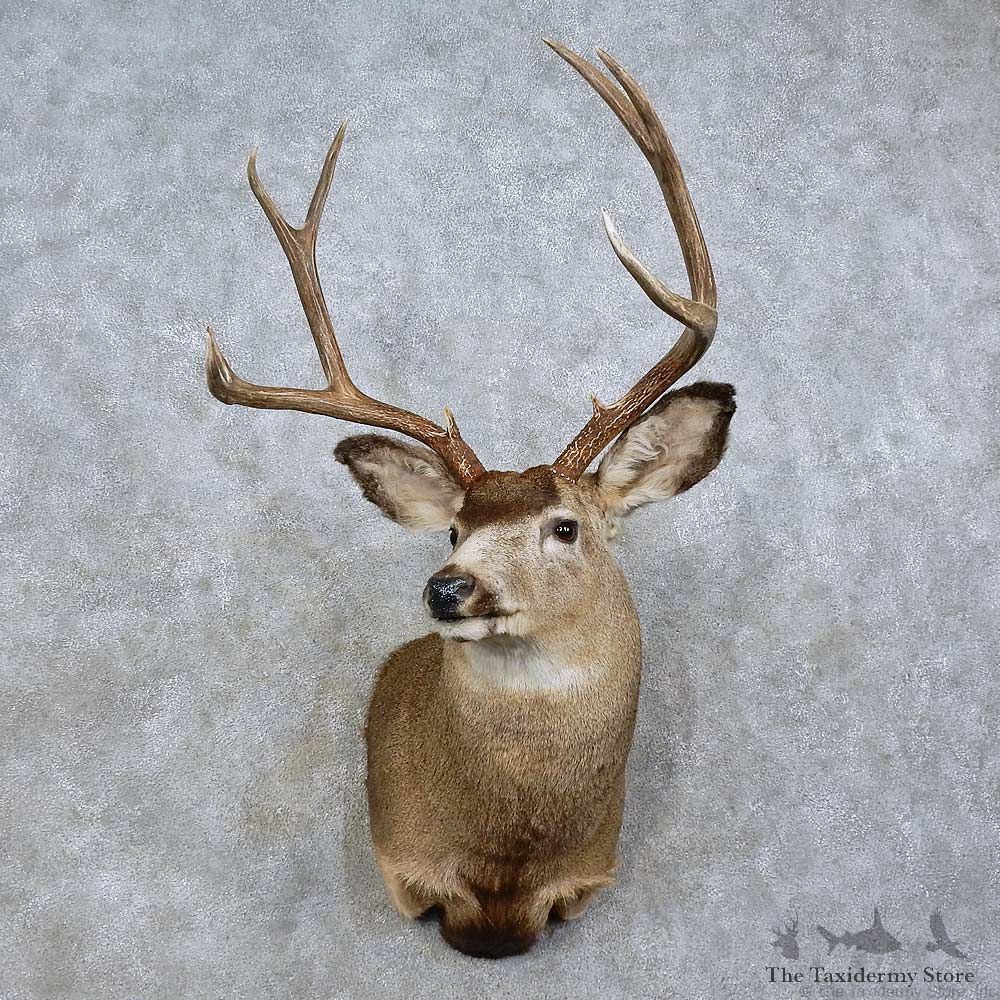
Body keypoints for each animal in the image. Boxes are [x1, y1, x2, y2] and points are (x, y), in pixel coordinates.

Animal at [205, 40, 736, 958]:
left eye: (566, 527)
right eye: (452, 528)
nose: (448, 588)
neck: (505, 863)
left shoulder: (589, 876)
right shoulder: (402, 860)